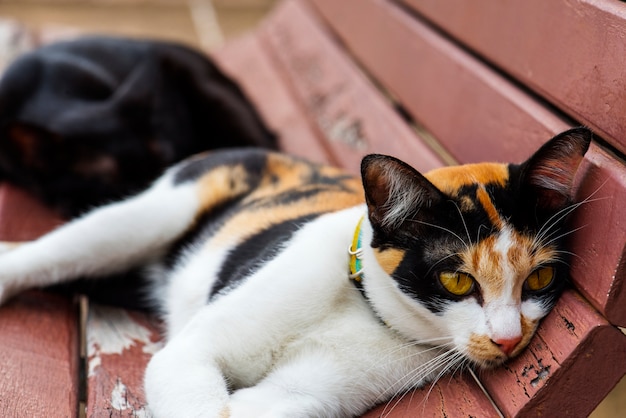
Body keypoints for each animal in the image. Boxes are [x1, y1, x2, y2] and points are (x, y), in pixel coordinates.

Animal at [0, 127, 588, 418]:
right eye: (457, 280)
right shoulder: (187, 356)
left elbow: (243, 410)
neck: (358, 305)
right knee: (46, 253)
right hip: (143, 219)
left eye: (539, 280)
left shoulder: (304, 396)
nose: (509, 339)